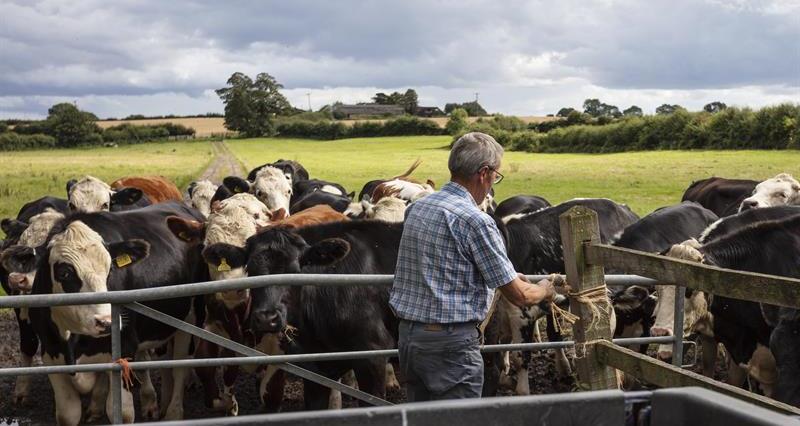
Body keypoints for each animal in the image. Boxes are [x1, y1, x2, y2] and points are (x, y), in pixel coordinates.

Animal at [28, 202, 208, 422]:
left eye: (110, 270)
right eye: (64, 273)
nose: (106, 322)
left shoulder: (123, 350)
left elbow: (121, 411)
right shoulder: (51, 356)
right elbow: (68, 414)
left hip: (191, 318)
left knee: (180, 366)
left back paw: (173, 413)